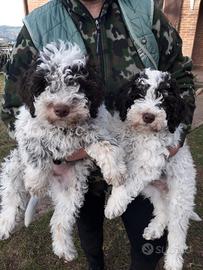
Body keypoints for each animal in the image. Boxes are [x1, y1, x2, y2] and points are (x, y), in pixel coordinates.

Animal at [0, 41, 126, 262]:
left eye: (77, 81)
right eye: (44, 83)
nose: (61, 108)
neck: (62, 127)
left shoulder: (95, 129)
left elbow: (106, 145)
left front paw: (115, 171)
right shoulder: (26, 129)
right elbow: (36, 150)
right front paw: (35, 182)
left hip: (71, 190)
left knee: (60, 220)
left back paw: (64, 249)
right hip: (14, 164)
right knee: (11, 195)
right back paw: (6, 223)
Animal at [103, 69, 200, 270]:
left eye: (163, 99)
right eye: (139, 94)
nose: (148, 116)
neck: (142, 133)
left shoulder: (150, 163)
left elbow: (128, 182)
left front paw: (114, 204)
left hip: (180, 196)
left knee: (177, 231)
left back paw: (173, 261)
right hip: (152, 190)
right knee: (162, 210)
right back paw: (154, 229)